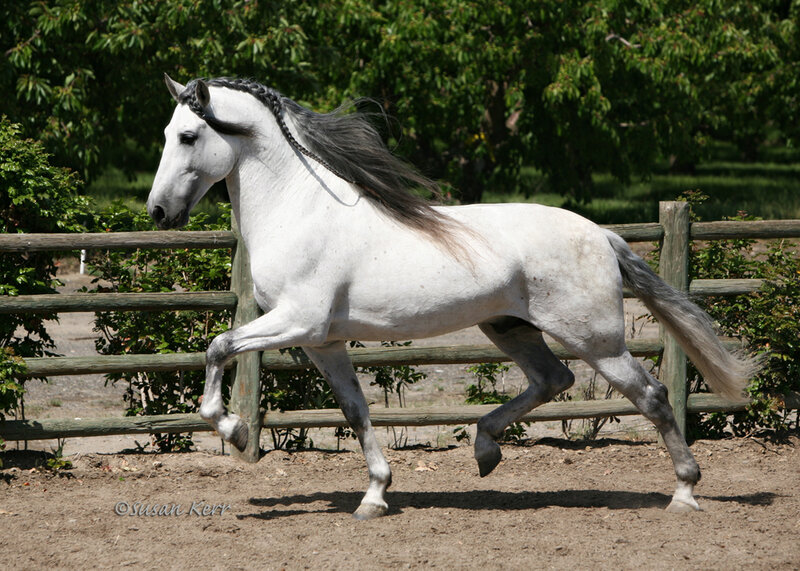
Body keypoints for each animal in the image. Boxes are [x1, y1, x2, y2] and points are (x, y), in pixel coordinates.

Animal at [147, 74, 757, 520]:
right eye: (167, 133)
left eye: (188, 136)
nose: (157, 211)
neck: (300, 211)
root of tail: (601, 234)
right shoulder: (324, 342)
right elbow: (355, 410)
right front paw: (375, 497)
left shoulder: (297, 321)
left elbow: (218, 346)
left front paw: (233, 429)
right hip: (510, 327)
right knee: (553, 380)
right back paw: (486, 450)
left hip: (596, 338)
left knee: (651, 396)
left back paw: (685, 494)